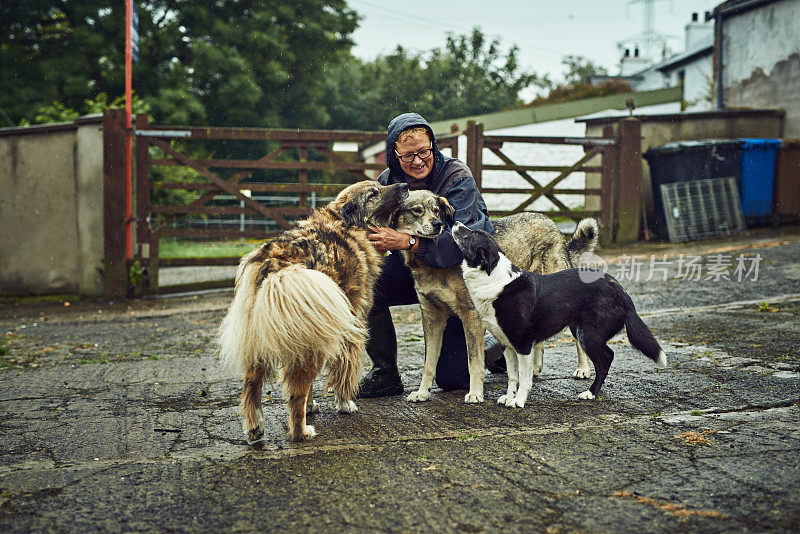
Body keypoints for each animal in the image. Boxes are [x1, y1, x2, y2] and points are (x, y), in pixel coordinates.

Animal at [217, 182, 410, 442]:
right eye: (373, 193)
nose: (405, 185)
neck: (345, 224)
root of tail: (277, 263)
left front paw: (312, 406)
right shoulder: (350, 326)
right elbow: (343, 371)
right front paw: (344, 404)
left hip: (266, 333)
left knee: (251, 383)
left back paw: (255, 428)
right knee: (297, 390)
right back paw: (301, 431)